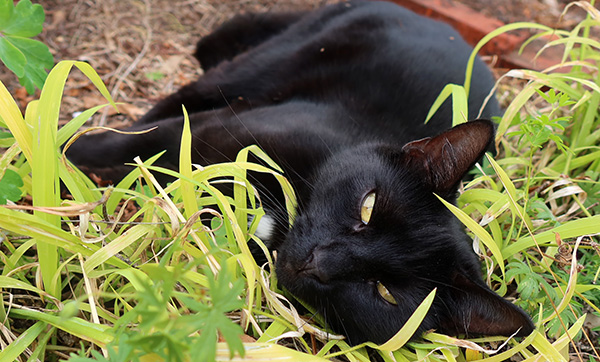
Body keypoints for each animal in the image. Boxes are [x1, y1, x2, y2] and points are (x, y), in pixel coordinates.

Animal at [68, 0, 536, 346]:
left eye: (383, 291)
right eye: (368, 206)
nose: (319, 261)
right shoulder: (218, 128)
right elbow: (138, 141)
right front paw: (66, 161)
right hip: (262, 68)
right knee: (182, 96)